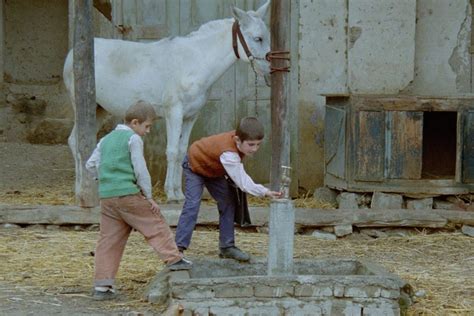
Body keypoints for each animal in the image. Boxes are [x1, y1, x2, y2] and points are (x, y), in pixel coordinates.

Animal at [64, 1, 270, 201]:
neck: (194, 62)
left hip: (99, 110)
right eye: (258, 38)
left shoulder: (190, 117)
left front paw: (179, 193)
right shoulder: (174, 113)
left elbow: (181, 151)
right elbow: (171, 151)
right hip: (83, 107)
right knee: (76, 142)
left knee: (75, 140)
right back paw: (81, 191)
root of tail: (72, 54)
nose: (269, 69)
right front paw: (170, 194)